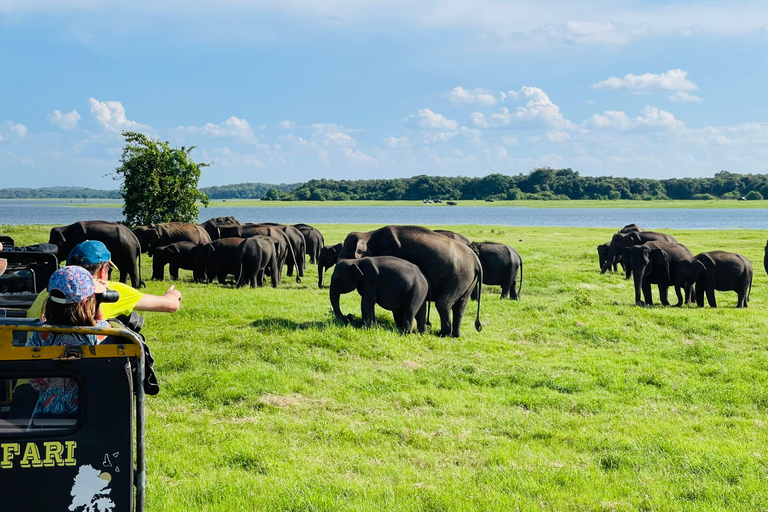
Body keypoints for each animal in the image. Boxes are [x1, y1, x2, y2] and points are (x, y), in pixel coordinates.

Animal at [339, 225, 482, 338]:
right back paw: (455, 335)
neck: (368, 234)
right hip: (467, 281)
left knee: (443, 304)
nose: (348, 317)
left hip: (458, 277)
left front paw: (400, 324)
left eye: (349, 255)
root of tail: (476, 261)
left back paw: (442, 334)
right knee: (460, 307)